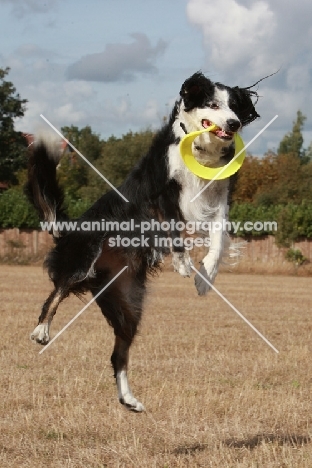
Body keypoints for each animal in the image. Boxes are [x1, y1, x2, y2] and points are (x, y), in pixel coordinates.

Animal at [25, 71, 260, 412]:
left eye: (234, 106)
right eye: (213, 104)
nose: (234, 124)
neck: (200, 150)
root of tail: (70, 229)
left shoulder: (218, 200)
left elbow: (218, 241)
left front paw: (205, 278)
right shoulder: (162, 194)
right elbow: (176, 232)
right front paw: (183, 264)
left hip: (128, 303)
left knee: (117, 355)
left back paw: (128, 399)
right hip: (84, 258)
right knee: (58, 290)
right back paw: (42, 330)